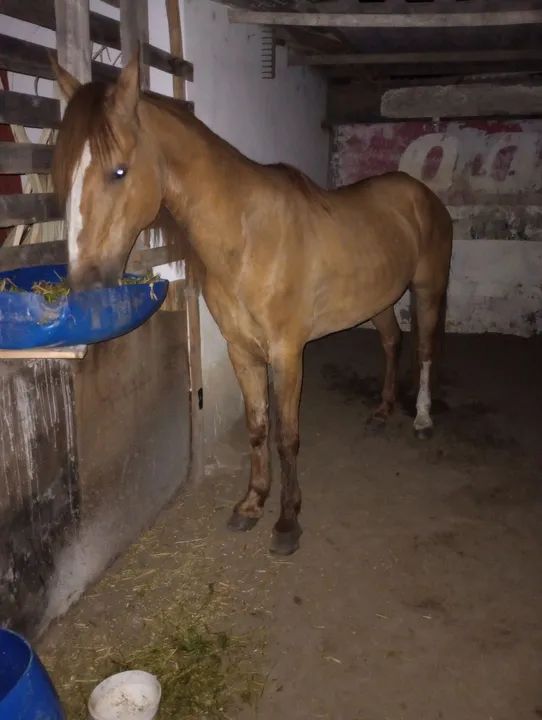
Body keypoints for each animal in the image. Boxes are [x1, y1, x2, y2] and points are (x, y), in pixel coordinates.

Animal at [51, 55, 453, 556]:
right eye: (65, 172)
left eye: (119, 172)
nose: (83, 285)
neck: (247, 236)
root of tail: (423, 194)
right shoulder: (241, 351)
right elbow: (258, 427)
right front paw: (252, 504)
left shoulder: (287, 353)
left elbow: (287, 436)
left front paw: (287, 522)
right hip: (380, 298)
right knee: (392, 342)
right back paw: (381, 412)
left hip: (427, 289)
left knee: (425, 351)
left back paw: (421, 418)